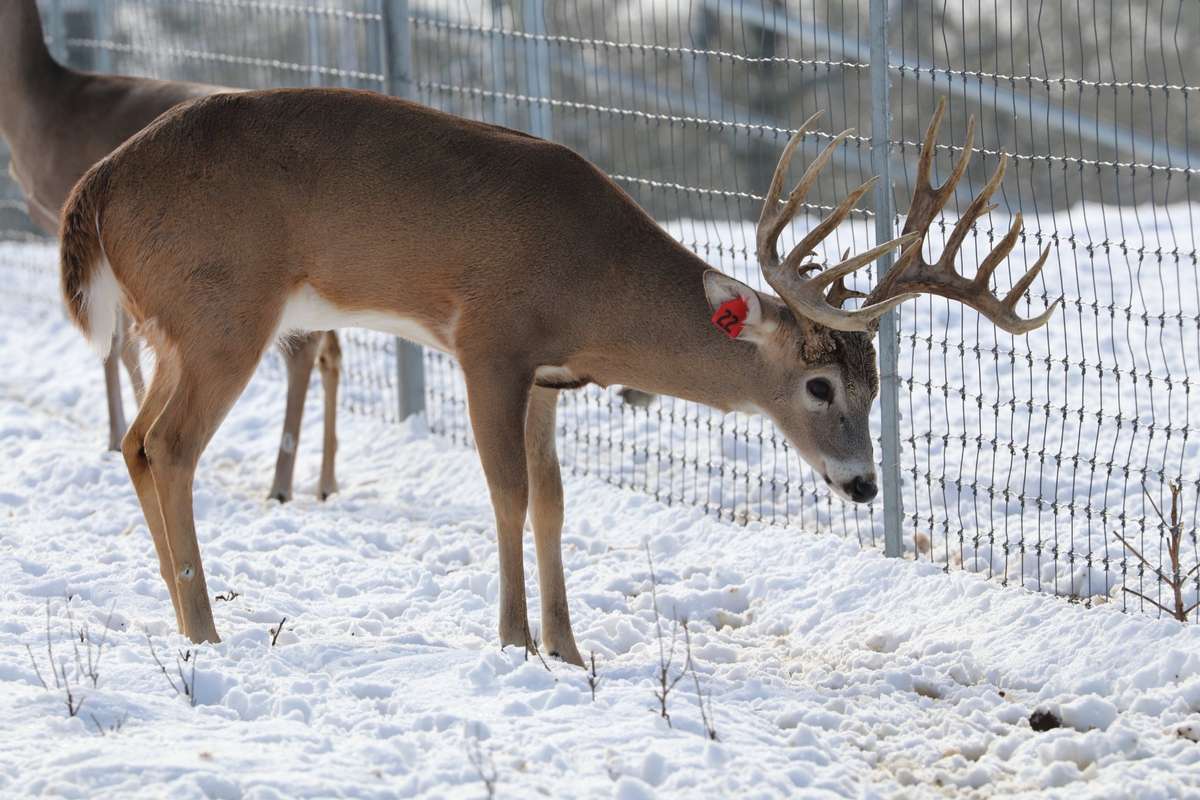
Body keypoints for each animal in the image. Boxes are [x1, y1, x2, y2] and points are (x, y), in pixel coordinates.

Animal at [1, 0, 339, 501]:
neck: (38, 109)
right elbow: (125, 346)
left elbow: (117, 346)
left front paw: (115, 433)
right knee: (330, 347)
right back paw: (326, 480)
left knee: (302, 348)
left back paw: (282, 483)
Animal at [58, 86, 1057, 663]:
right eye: (820, 387)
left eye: (878, 387)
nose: (861, 485)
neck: (589, 285)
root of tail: (94, 189)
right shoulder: (490, 343)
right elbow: (505, 492)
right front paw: (514, 642)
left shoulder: (546, 375)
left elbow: (552, 500)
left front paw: (572, 651)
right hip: (223, 310)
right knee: (172, 446)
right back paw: (206, 629)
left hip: (178, 328)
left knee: (137, 441)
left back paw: (178, 614)